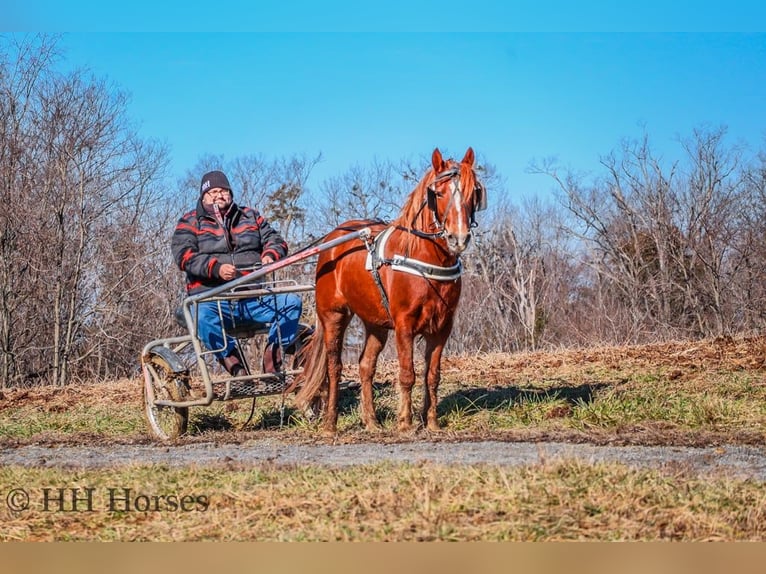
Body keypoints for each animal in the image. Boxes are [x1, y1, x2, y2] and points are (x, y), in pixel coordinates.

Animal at [292, 147, 486, 435]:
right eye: (438, 193)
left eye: (474, 192)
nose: (458, 238)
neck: (425, 258)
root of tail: (333, 240)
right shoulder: (404, 323)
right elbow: (408, 374)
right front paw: (405, 422)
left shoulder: (442, 327)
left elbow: (432, 375)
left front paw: (431, 422)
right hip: (333, 315)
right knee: (334, 368)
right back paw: (330, 423)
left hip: (376, 323)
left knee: (365, 366)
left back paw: (371, 421)